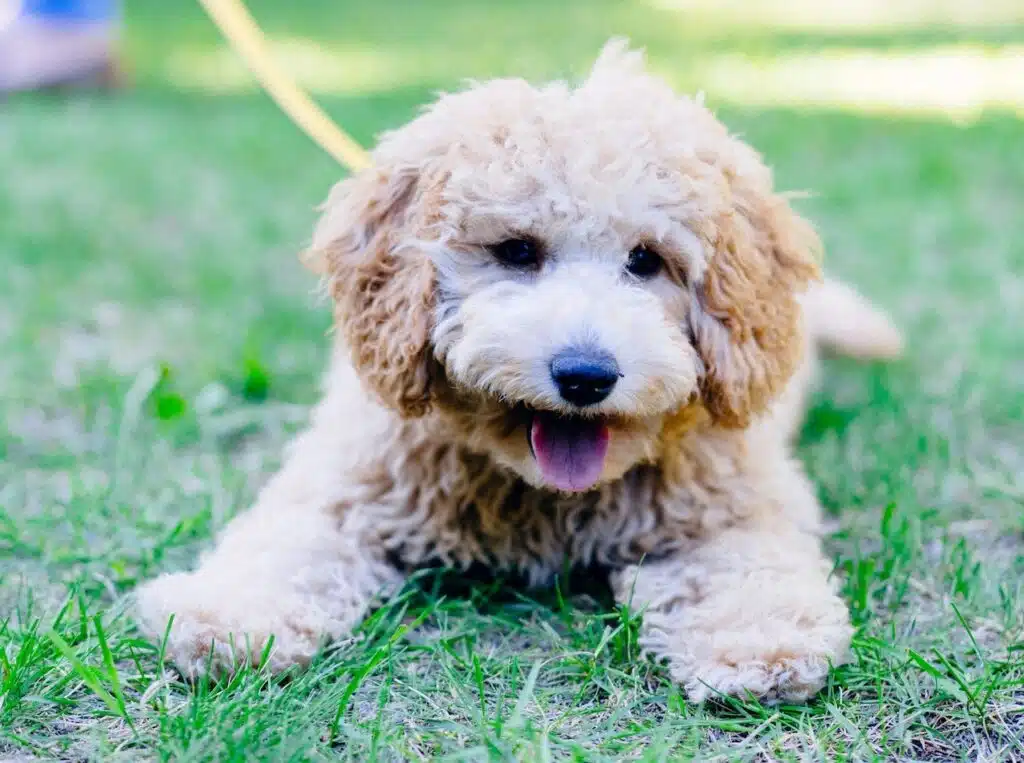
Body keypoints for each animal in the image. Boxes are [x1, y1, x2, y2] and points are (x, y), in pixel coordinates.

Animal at [134, 43, 897, 700]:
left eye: (646, 260)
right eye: (517, 250)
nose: (585, 375)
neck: (544, 497)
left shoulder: (735, 496)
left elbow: (746, 561)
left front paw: (759, 637)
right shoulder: (344, 482)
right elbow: (285, 543)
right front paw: (227, 615)